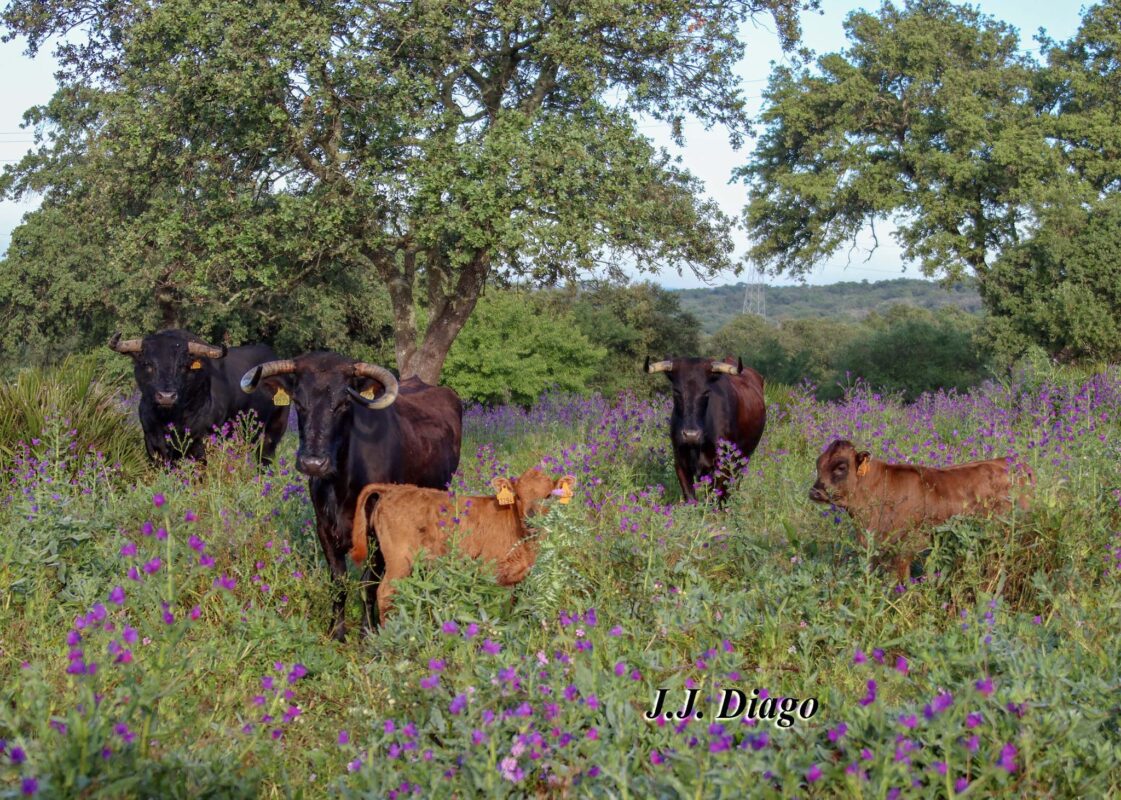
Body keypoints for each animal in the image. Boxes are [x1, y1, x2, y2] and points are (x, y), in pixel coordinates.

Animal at [109, 327, 289, 461]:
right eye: (148, 364)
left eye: (183, 365)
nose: (166, 396)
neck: (170, 418)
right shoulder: (153, 444)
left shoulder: (204, 444)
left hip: (271, 436)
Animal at [238, 351, 461, 640]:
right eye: (298, 402)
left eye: (344, 404)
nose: (313, 463)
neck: (342, 486)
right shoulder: (324, 527)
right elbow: (339, 581)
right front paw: (336, 631)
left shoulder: (377, 533)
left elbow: (370, 582)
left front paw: (368, 631)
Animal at [349, 468, 578, 622]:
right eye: (518, 496)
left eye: (548, 496)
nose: (531, 520)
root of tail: (393, 489)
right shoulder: (491, 572)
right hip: (399, 560)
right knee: (385, 592)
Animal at [645, 354, 766, 501]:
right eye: (676, 391)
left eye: (707, 392)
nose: (691, 435)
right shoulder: (680, 463)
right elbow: (691, 498)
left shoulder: (722, 466)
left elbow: (716, 498)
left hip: (742, 459)